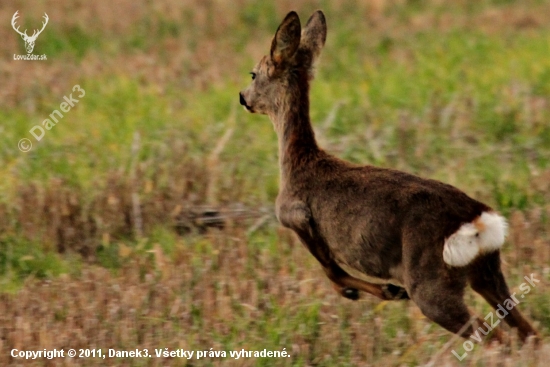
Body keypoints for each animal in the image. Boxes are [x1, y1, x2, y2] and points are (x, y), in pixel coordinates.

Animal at [240, 10, 540, 344]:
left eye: (253, 74)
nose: (242, 97)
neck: (299, 162)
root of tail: (477, 221)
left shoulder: (296, 217)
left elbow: (333, 273)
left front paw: (383, 291)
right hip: (487, 271)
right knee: (527, 331)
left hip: (430, 281)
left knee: (491, 335)